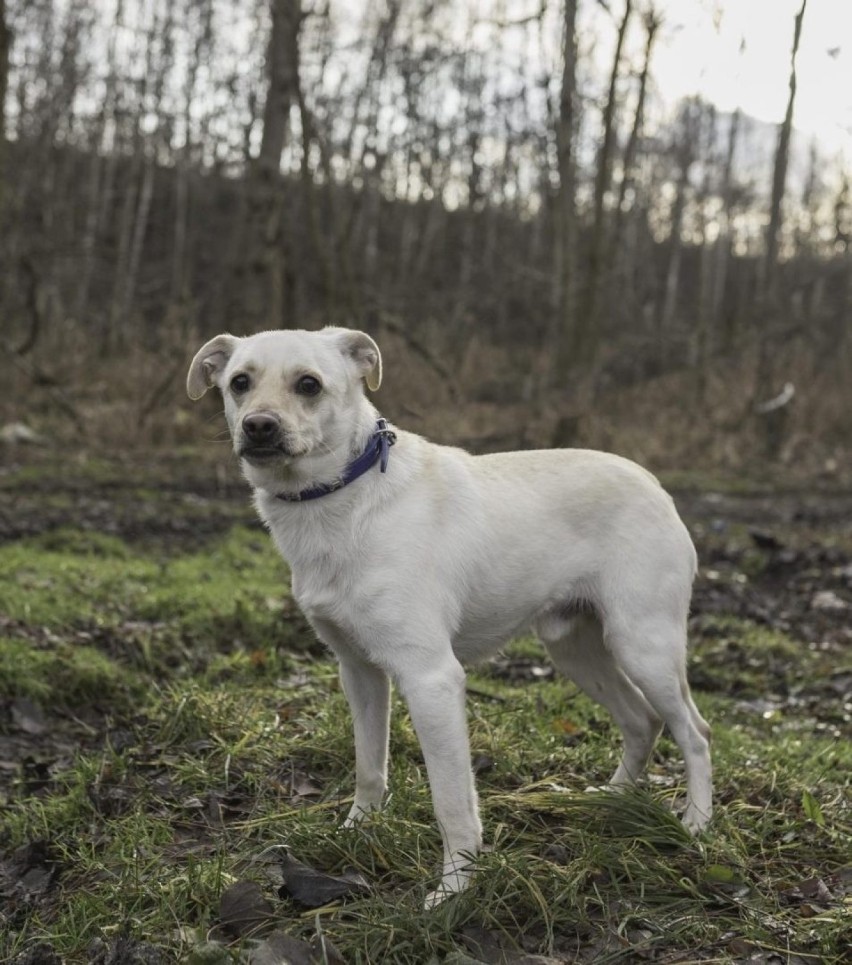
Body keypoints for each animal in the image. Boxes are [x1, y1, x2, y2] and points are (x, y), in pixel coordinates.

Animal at [188, 328, 712, 908]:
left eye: (309, 385)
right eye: (239, 382)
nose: (259, 426)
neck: (342, 499)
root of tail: (653, 483)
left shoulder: (431, 678)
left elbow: (452, 801)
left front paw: (455, 889)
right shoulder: (359, 672)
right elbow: (369, 767)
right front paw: (358, 830)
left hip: (643, 645)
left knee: (694, 731)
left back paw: (695, 824)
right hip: (576, 649)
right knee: (641, 720)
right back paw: (609, 800)